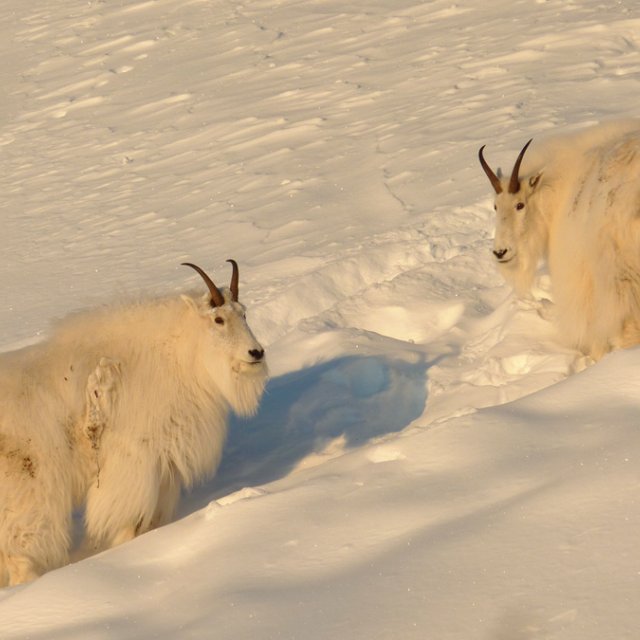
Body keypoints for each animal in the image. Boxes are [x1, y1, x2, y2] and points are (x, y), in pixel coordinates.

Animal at [0, 260, 266, 584]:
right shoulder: (132, 461)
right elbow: (126, 522)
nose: (256, 353)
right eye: (218, 319)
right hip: (31, 491)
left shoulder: (164, 466)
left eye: (244, 313)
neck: (177, 357)